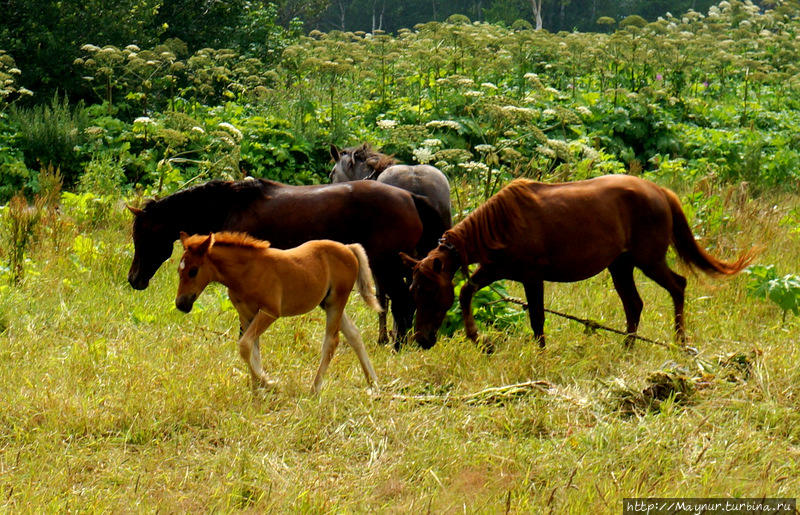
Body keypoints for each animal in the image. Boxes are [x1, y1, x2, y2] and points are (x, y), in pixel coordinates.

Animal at [175, 232, 382, 394]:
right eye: (179, 270)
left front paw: (268, 382)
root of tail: (348, 248)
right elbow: (252, 348)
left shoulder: (269, 312)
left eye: (193, 271)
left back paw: (315, 388)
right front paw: (256, 388)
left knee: (331, 341)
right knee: (354, 335)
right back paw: (373, 383)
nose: (180, 304)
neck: (246, 271)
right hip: (328, 303)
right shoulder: (246, 315)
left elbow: (245, 345)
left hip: (336, 302)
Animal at [400, 175, 756, 348]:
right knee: (634, 305)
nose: (421, 339)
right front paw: (478, 338)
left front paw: (541, 351)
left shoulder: (531, 276)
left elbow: (537, 318)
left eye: (429, 293)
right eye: (413, 292)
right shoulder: (494, 268)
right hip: (621, 266)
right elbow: (465, 292)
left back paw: (680, 342)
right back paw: (627, 348)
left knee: (677, 286)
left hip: (648, 260)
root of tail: (659, 191)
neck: (501, 223)